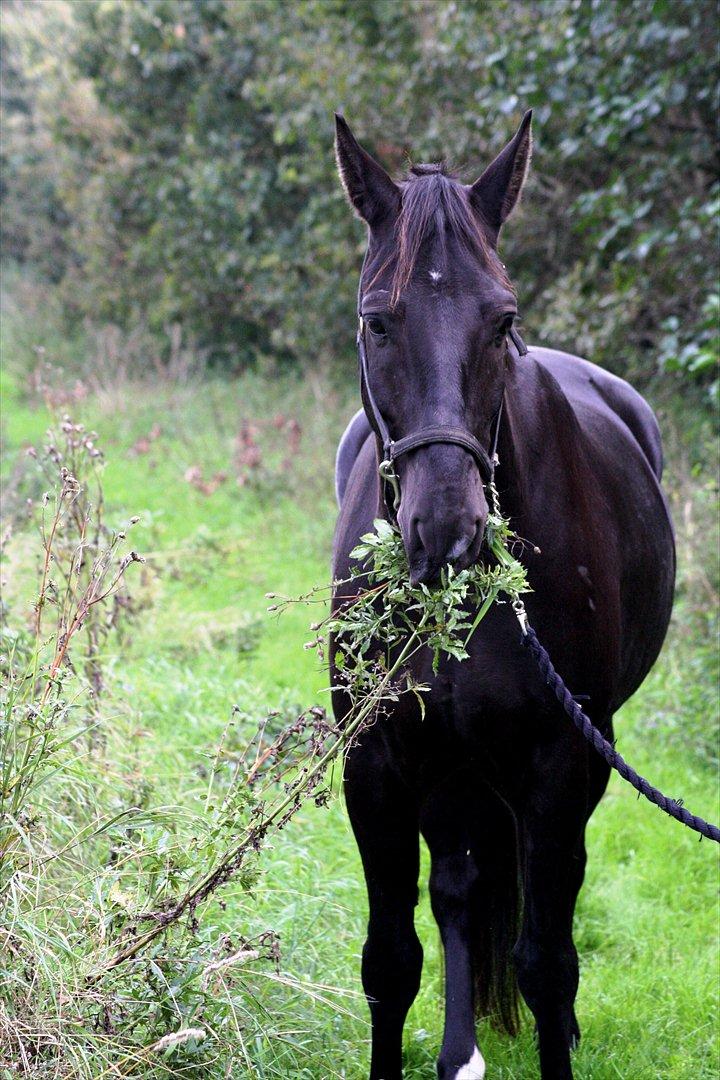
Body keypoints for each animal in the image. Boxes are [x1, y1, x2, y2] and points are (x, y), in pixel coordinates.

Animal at [330, 111, 677, 1080]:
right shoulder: (376, 767)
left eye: (503, 321)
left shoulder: (561, 768)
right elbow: (389, 961)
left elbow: (546, 963)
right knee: (457, 889)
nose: (446, 533)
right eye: (379, 321)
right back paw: (461, 1052)